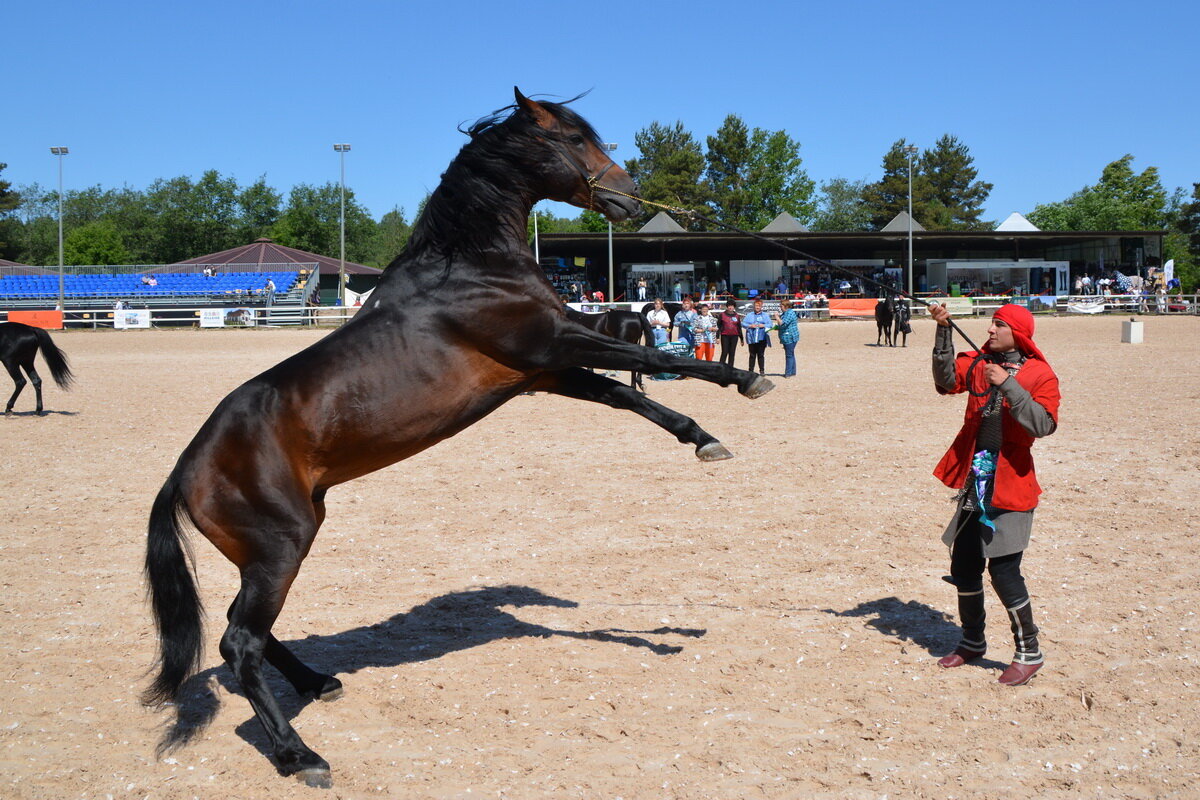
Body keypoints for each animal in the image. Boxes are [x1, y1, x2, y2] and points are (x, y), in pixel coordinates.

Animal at [142, 89, 777, 786]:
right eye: (575, 140)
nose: (629, 197)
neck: (471, 269)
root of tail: (185, 470)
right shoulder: (554, 343)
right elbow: (664, 357)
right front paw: (747, 380)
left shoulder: (545, 371)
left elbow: (632, 392)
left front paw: (704, 437)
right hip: (281, 544)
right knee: (240, 643)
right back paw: (299, 756)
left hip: (273, 549)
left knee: (248, 632)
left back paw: (317, 684)